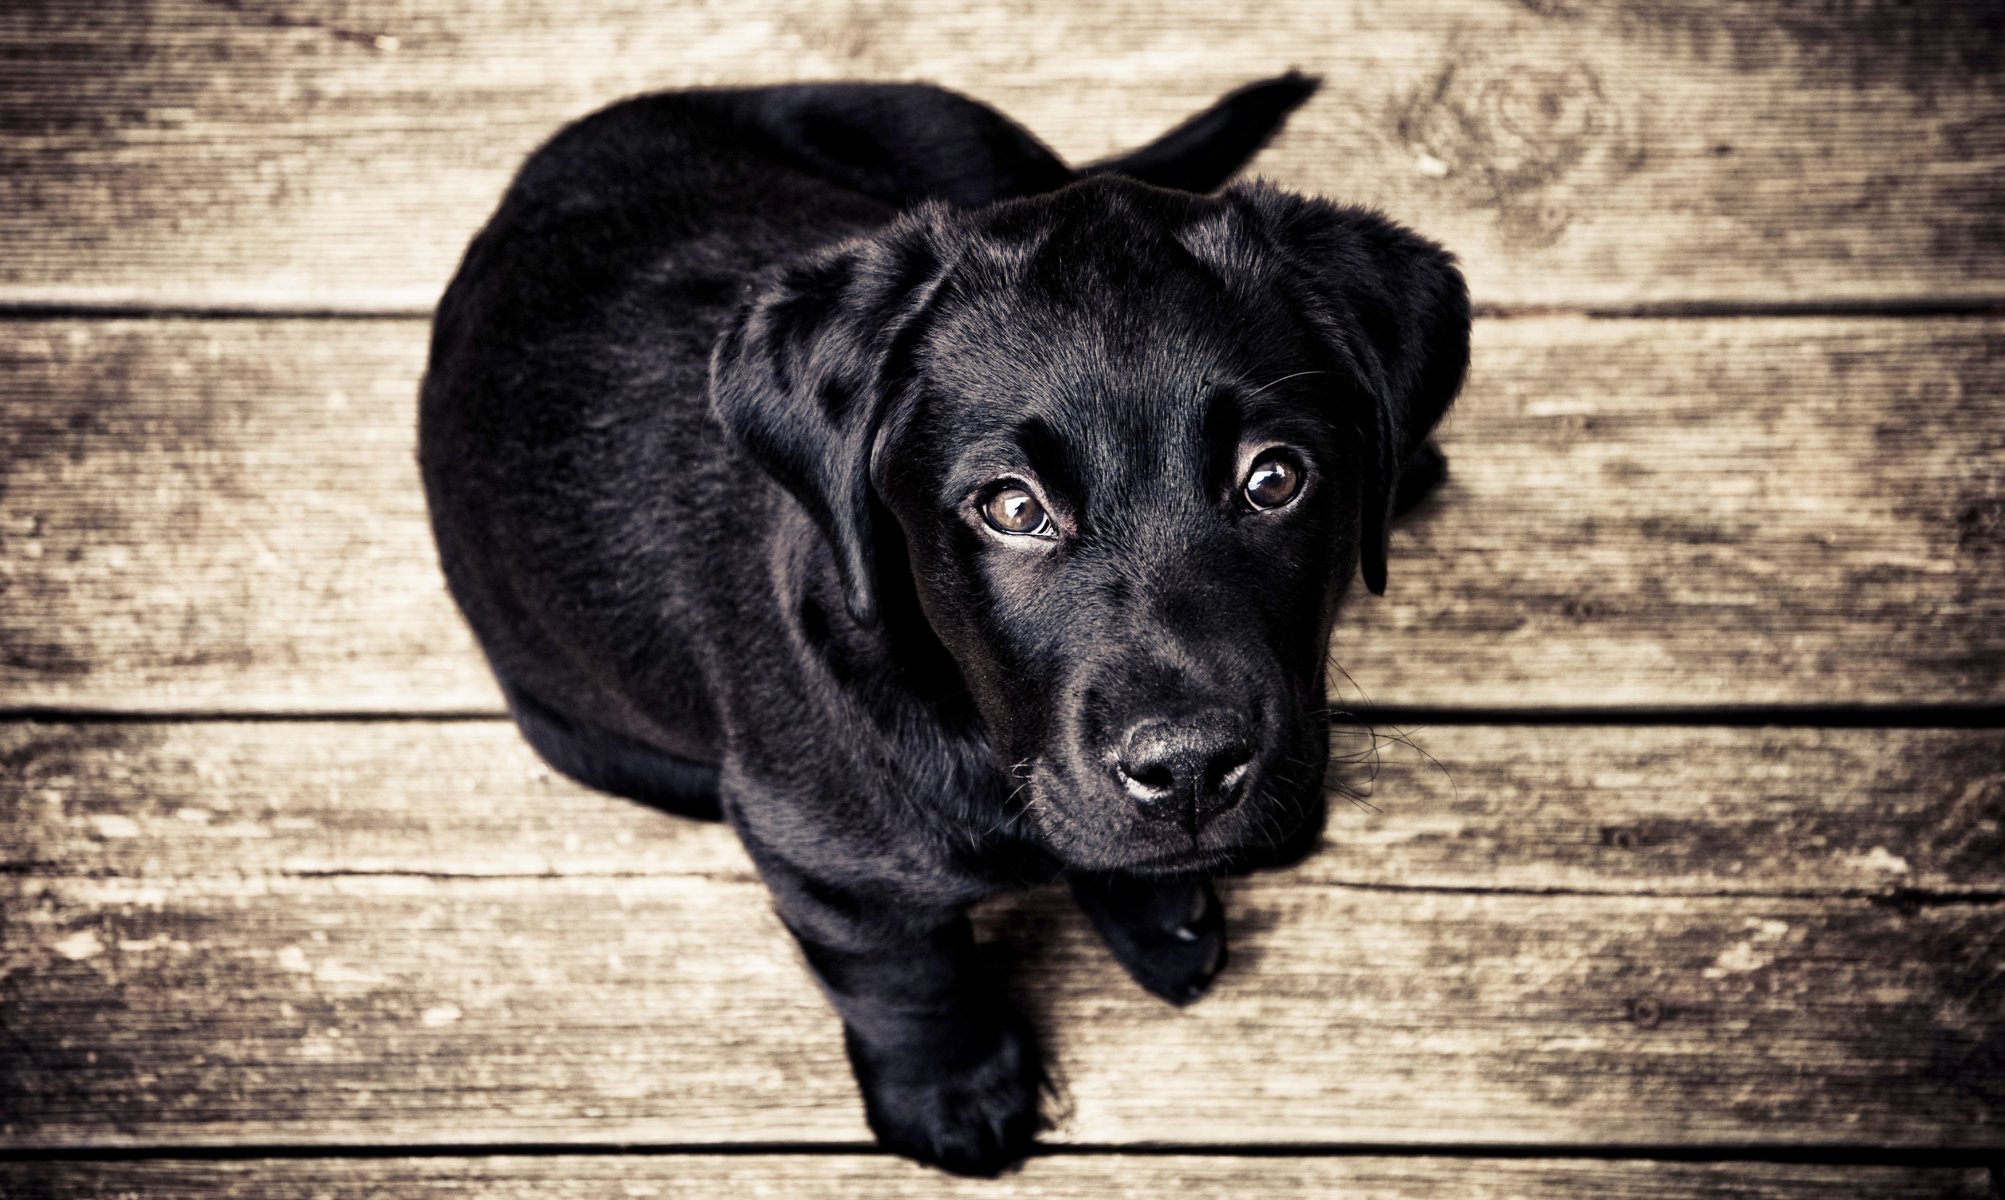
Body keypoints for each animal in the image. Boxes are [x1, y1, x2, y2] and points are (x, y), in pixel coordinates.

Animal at [423, 72, 1467, 1169]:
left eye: (1272, 480)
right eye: (1010, 508)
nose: (1188, 772)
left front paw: (1151, 908)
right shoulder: (818, 856)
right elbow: (904, 977)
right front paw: (954, 1093)